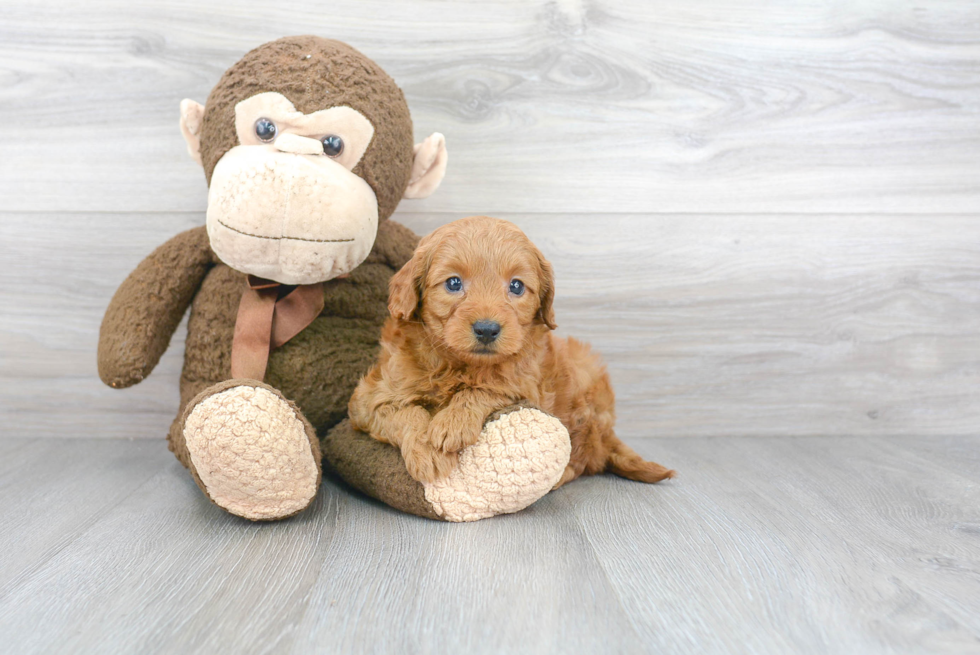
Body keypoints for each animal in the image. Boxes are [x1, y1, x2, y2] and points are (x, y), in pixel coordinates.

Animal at [346, 215, 672, 486]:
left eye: (516, 286)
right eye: (453, 283)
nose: (487, 329)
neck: (457, 365)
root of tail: (607, 432)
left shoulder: (527, 386)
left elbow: (487, 387)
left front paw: (452, 424)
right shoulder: (369, 399)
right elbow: (406, 413)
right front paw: (427, 452)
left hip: (585, 395)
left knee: (582, 459)